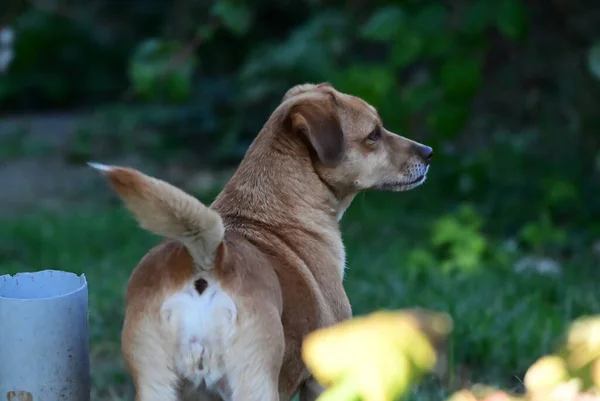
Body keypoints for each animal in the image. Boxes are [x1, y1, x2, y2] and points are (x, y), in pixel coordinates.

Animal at [90, 82, 432, 400]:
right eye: (374, 135)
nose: (429, 152)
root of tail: (206, 260)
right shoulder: (321, 379)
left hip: (156, 386)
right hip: (255, 383)